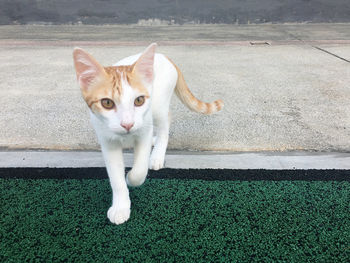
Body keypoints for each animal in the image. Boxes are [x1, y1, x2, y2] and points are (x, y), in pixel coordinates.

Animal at [72, 43, 223, 225]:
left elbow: (140, 169)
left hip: (158, 106)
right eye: (107, 103)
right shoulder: (107, 140)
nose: (127, 124)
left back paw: (157, 154)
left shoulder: (144, 130)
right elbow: (115, 177)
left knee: (165, 122)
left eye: (139, 100)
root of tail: (164, 55)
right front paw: (121, 206)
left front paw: (131, 178)